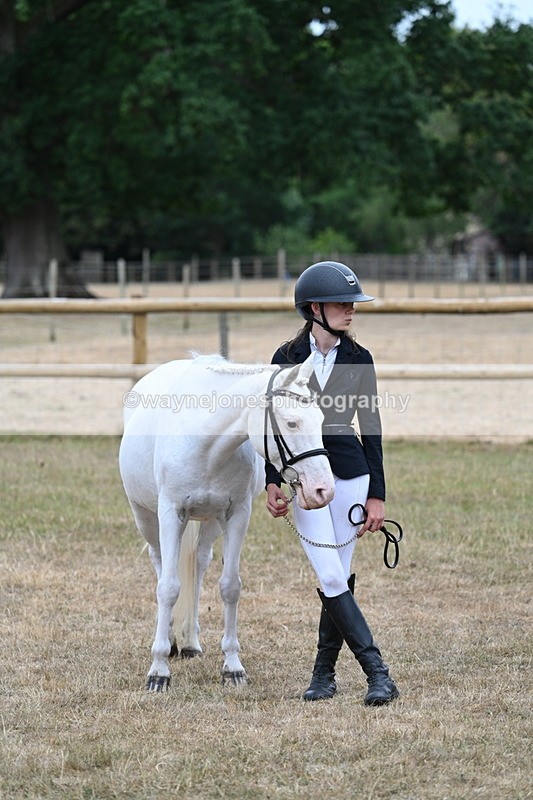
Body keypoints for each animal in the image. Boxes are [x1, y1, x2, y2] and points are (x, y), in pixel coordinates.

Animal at [118, 353, 335, 691]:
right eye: (292, 422)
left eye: (321, 419)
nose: (323, 489)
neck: (205, 442)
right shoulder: (170, 514)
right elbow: (168, 587)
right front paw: (158, 670)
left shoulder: (236, 516)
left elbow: (230, 587)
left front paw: (232, 667)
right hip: (146, 517)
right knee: (160, 563)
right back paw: (170, 639)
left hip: (210, 523)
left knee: (199, 564)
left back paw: (190, 642)